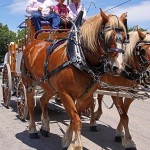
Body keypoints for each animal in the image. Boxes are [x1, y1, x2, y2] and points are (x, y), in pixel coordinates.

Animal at [20, 9, 126, 150]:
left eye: (125, 38)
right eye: (107, 37)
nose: (117, 67)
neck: (80, 57)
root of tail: (32, 43)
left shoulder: (84, 96)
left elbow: (74, 117)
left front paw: (67, 140)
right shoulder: (65, 93)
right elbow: (76, 120)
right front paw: (76, 145)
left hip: (49, 85)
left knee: (43, 100)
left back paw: (45, 127)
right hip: (29, 84)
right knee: (31, 104)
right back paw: (33, 130)